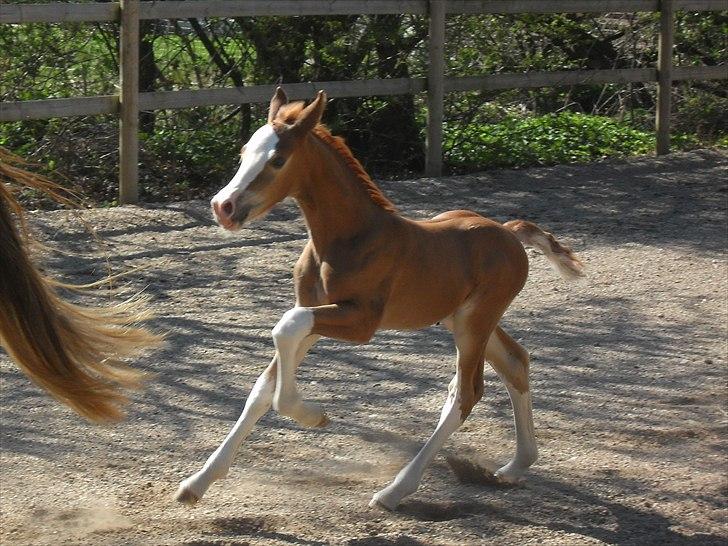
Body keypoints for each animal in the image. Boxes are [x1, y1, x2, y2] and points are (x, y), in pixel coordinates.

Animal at [178, 87, 584, 508]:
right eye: (244, 152)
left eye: (277, 159)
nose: (223, 207)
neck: (350, 238)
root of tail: (509, 233)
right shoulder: (314, 311)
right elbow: (262, 386)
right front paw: (197, 482)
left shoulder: (359, 322)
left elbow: (285, 329)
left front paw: (314, 415)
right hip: (460, 318)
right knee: (515, 363)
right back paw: (517, 465)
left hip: (475, 322)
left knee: (466, 393)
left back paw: (395, 491)